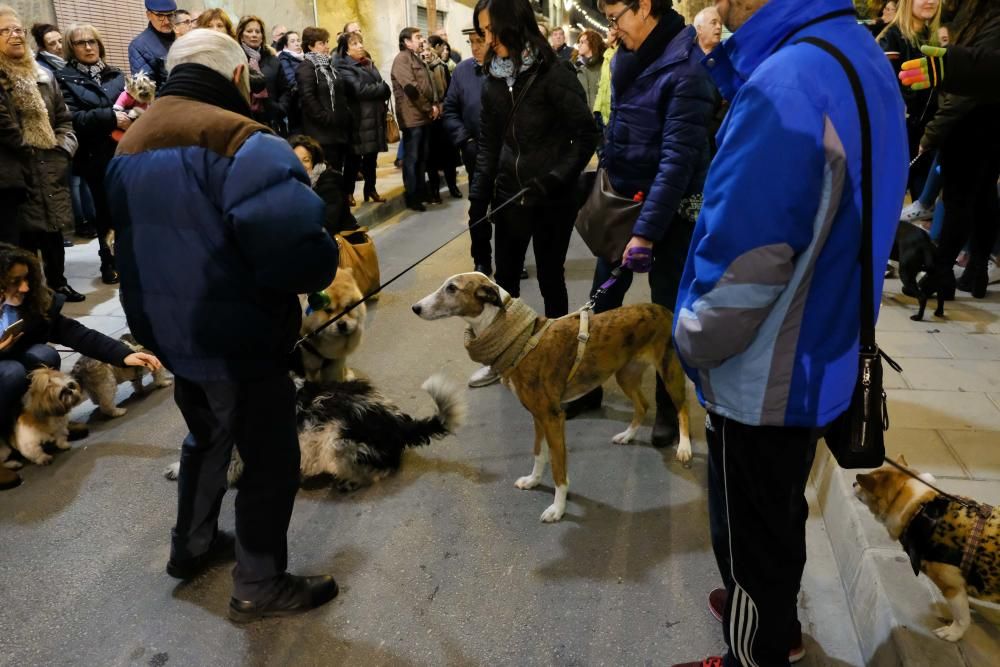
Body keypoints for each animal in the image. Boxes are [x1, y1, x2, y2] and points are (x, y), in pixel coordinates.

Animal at [410, 274, 692, 524]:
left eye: (452, 288)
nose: (415, 308)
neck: (522, 339)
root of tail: (663, 309)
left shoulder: (553, 418)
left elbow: (558, 468)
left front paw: (558, 508)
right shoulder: (538, 415)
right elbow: (539, 453)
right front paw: (533, 481)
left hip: (669, 371)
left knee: (682, 408)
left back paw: (684, 447)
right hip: (626, 374)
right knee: (643, 405)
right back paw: (627, 436)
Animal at [852, 454, 1000, 640]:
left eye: (863, 484)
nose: (853, 483)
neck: (920, 508)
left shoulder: (952, 588)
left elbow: (961, 617)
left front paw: (952, 633)